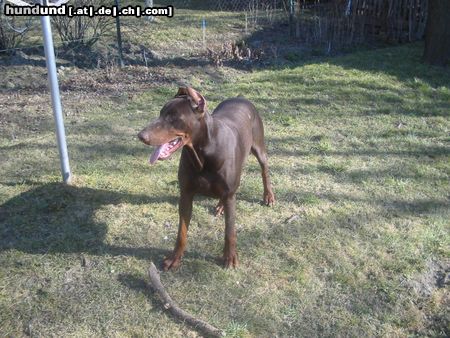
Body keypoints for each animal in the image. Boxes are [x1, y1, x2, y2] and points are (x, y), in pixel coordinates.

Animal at [139, 88, 274, 270]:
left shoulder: (230, 194)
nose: (141, 135)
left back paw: (268, 196)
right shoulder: (186, 194)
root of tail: (241, 98)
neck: (203, 152)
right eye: (160, 113)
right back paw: (220, 205)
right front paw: (175, 258)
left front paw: (230, 257)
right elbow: (181, 231)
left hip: (259, 147)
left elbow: (229, 230)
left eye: (173, 117)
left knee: (264, 170)